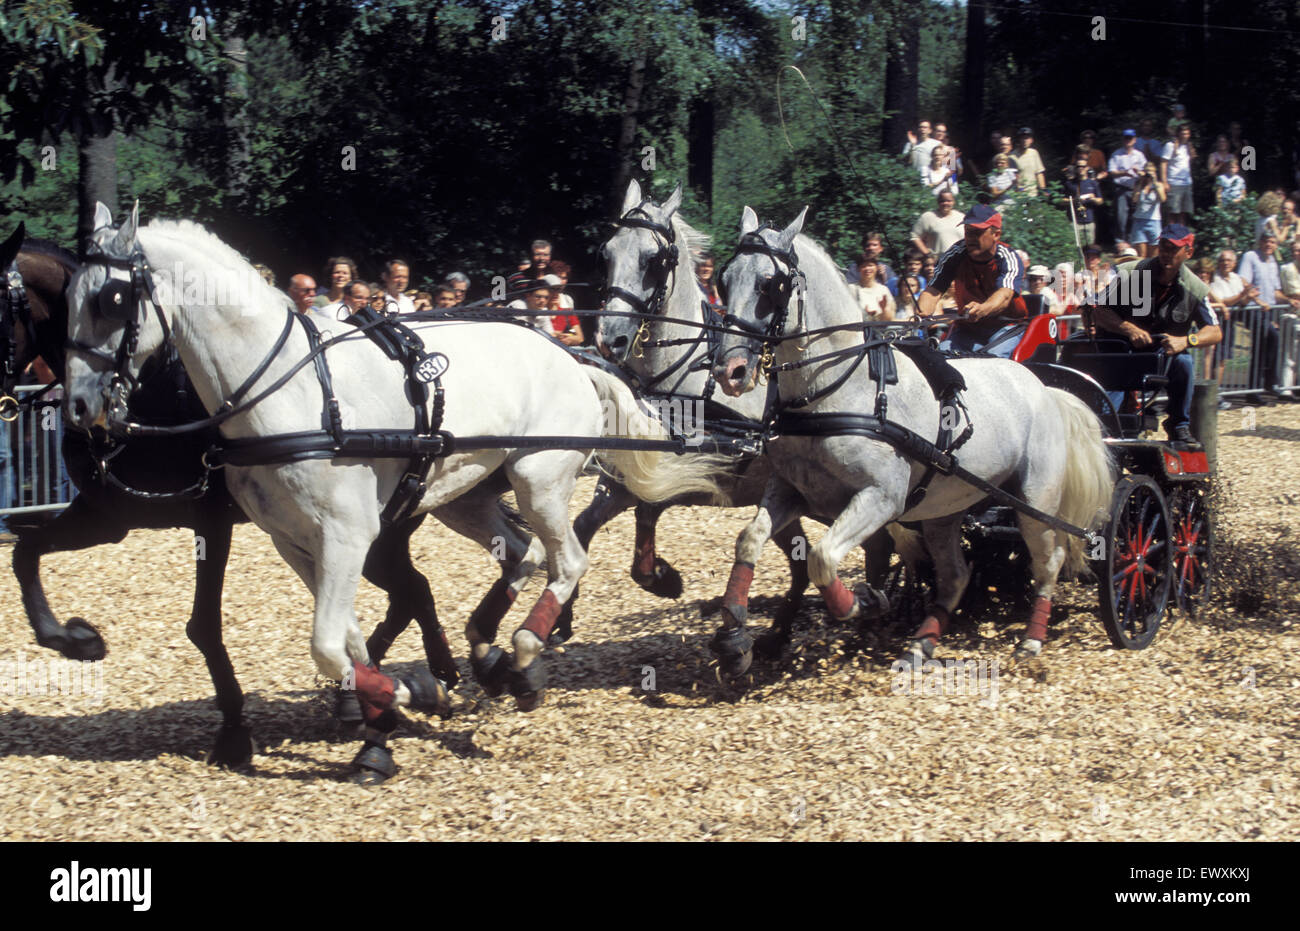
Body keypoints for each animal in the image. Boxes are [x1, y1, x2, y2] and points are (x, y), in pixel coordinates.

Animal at [63, 201, 722, 780]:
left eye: (111, 299)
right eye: (70, 296)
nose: (77, 406)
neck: (290, 393)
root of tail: (574, 354)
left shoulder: (349, 535)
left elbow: (328, 644)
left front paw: (404, 695)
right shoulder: (296, 543)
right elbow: (349, 639)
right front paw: (385, 717)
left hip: (539, 477)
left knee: (568, 561)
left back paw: (524, 647)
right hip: (467, 495)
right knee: (523, 552)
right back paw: (494, 659)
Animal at [707, 206, 1112, 670]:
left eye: (770, 284)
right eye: (723, 280)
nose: (730, 371)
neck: (833, 390)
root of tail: (1046, 388)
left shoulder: (882, 498)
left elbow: (822, 560)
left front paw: (865, 603)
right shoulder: (791, 490)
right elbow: (749, 541)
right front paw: (734, 637)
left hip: (1035, 502)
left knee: (1049, 562)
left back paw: (1031, 639)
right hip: (944, 510)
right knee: (955, 574)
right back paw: (922, 642)